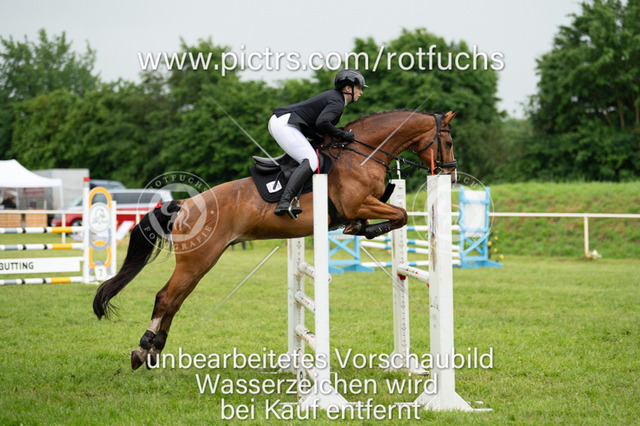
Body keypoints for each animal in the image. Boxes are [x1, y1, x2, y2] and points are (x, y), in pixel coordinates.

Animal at [93, 109, 458, 370]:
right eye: (449, 141)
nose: (451, 174)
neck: (361, 154)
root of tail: (187, 204)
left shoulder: (364, 204)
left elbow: (396, 212)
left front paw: (361, 228)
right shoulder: (357, 203)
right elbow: (400, 215)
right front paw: (364, 231)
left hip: (201, 262)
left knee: (175, 299)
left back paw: (154, 350)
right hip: (197, 259)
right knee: (166, 297)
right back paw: (143, 348)